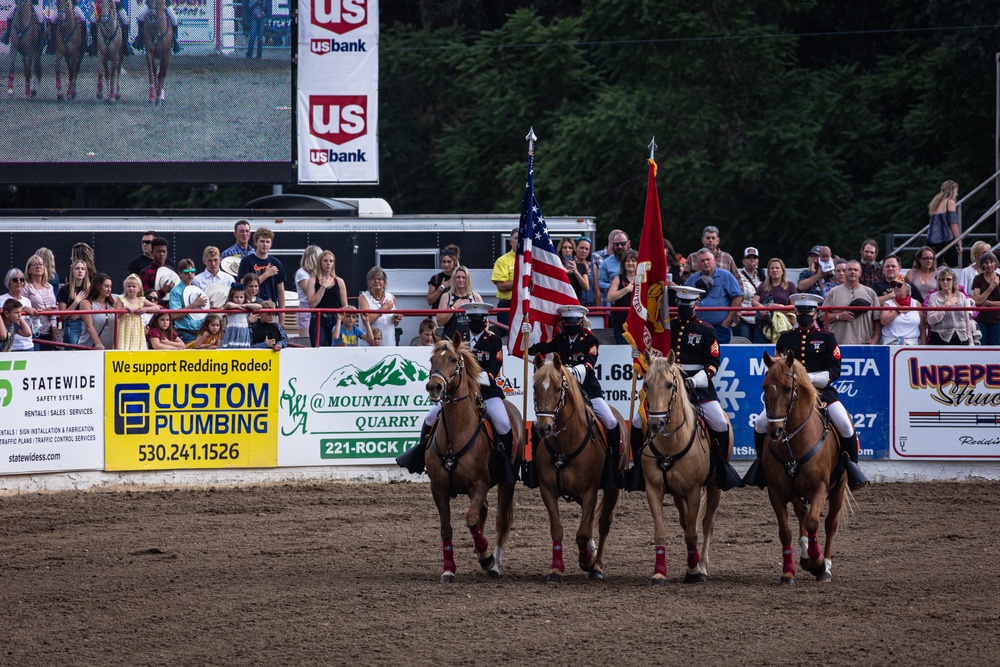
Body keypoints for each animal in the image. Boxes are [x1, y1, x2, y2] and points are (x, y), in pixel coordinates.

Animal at [424, 334, 528, 584]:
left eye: (453, 359)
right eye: (432, 359)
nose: (434, 387)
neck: (455, 434)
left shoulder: (479, 485)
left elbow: (471, 520)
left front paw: (486, 557)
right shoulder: (438, 489)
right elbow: (446, 528)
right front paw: (449, 569)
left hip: (507, 482)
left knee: (499, 520)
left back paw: (494, 563)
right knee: (484, 512)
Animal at [532, 354, 624, 584]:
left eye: (557, 389)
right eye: (535, 388)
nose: (544, 428)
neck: (564, 446)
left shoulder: (590, 491)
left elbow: (583, 533)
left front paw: (587, 561)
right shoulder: (548, 490)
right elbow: (557, 529)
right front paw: (556, 570)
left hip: (612, 489)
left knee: (603, 523)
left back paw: (596, 566)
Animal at [640, 352, 728, 588]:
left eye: (670, 385)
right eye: (646, 384)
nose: (656, 424)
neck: (670, 443)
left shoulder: (694, 490)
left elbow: (692, 533)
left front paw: (693, 571)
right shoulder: (654, 489)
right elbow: (661, 532)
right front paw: (659, 573)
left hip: (714, 487)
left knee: (706, 524)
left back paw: (702, 566)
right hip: (678, 495)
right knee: (685, 520)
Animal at [760, 350, 848, 584]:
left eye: (787, 388)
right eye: (764, 387)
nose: (775, 431)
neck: (793, 441)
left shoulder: (820, 488)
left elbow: (813, 523)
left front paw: (818, 563)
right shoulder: (776, 491)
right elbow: (786, 531)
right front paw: (788, 571)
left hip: (839, 487)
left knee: (830, 523)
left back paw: (825, 566)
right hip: (795, 491)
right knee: (801, 513)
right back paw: (804, 555)